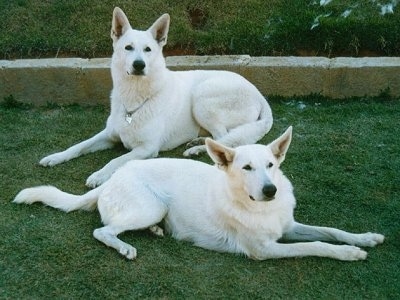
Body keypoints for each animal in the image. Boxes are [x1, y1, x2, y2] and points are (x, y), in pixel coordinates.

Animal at [13, 127, 384, 262]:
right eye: (246, 168)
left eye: (270, 165)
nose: (271, 190)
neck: (255, 206)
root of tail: (114, 176)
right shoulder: (264, 250)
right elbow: (317, 245)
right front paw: (350, 253)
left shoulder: (288, 226)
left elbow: (329, 231)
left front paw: (363, 238)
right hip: (149, 205)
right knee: (102, 230)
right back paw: (125, 246)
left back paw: (157, 231)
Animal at [39, 7, 274, 188]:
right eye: (128, 48)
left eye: (148, 49)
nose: (139, 65)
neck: (134, 100)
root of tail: (259, 94)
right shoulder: (108, 135)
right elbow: (79, 146)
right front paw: (55, 157)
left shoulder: (147, 149)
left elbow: (117, 159)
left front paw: (99, 175)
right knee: (221, 138)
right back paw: (197, 142)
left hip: (202, 97)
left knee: (226, 140)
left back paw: (198, 149)